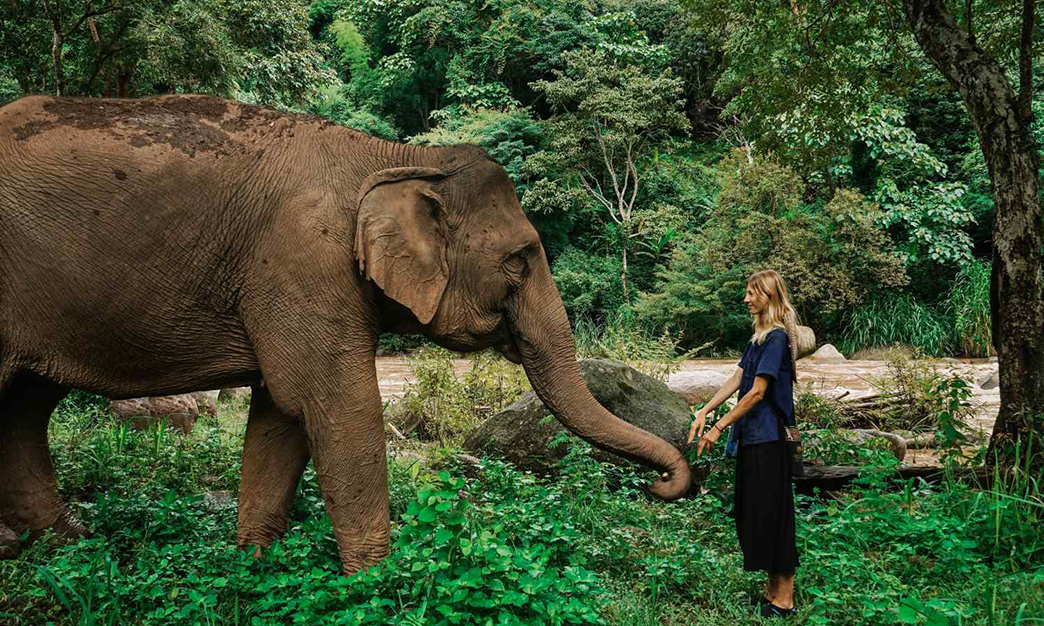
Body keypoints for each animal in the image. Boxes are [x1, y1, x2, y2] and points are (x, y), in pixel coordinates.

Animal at [2, 96, 693, 571]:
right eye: (519, 261)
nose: (661, 486)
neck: (397, 157)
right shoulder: (303, 260)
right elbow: (335, 403)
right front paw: (377, 581)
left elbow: (281, 415)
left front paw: (257, 565)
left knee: (24, 408)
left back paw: (68, 548)